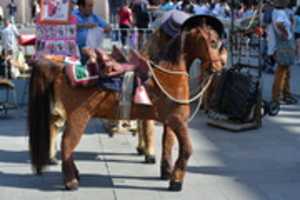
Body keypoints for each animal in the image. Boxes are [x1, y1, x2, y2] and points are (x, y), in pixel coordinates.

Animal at [28, 22, 225, 191]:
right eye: (213, 42)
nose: (218, 67)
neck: (169, 75)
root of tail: (61, 69)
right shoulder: (178, 121)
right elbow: (187, 149)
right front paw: (176, 181)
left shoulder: (170, 121)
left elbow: (168, 143)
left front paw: (167, 172)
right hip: (78, 117)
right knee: (67, 143)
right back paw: (71, 182)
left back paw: (74, 175)